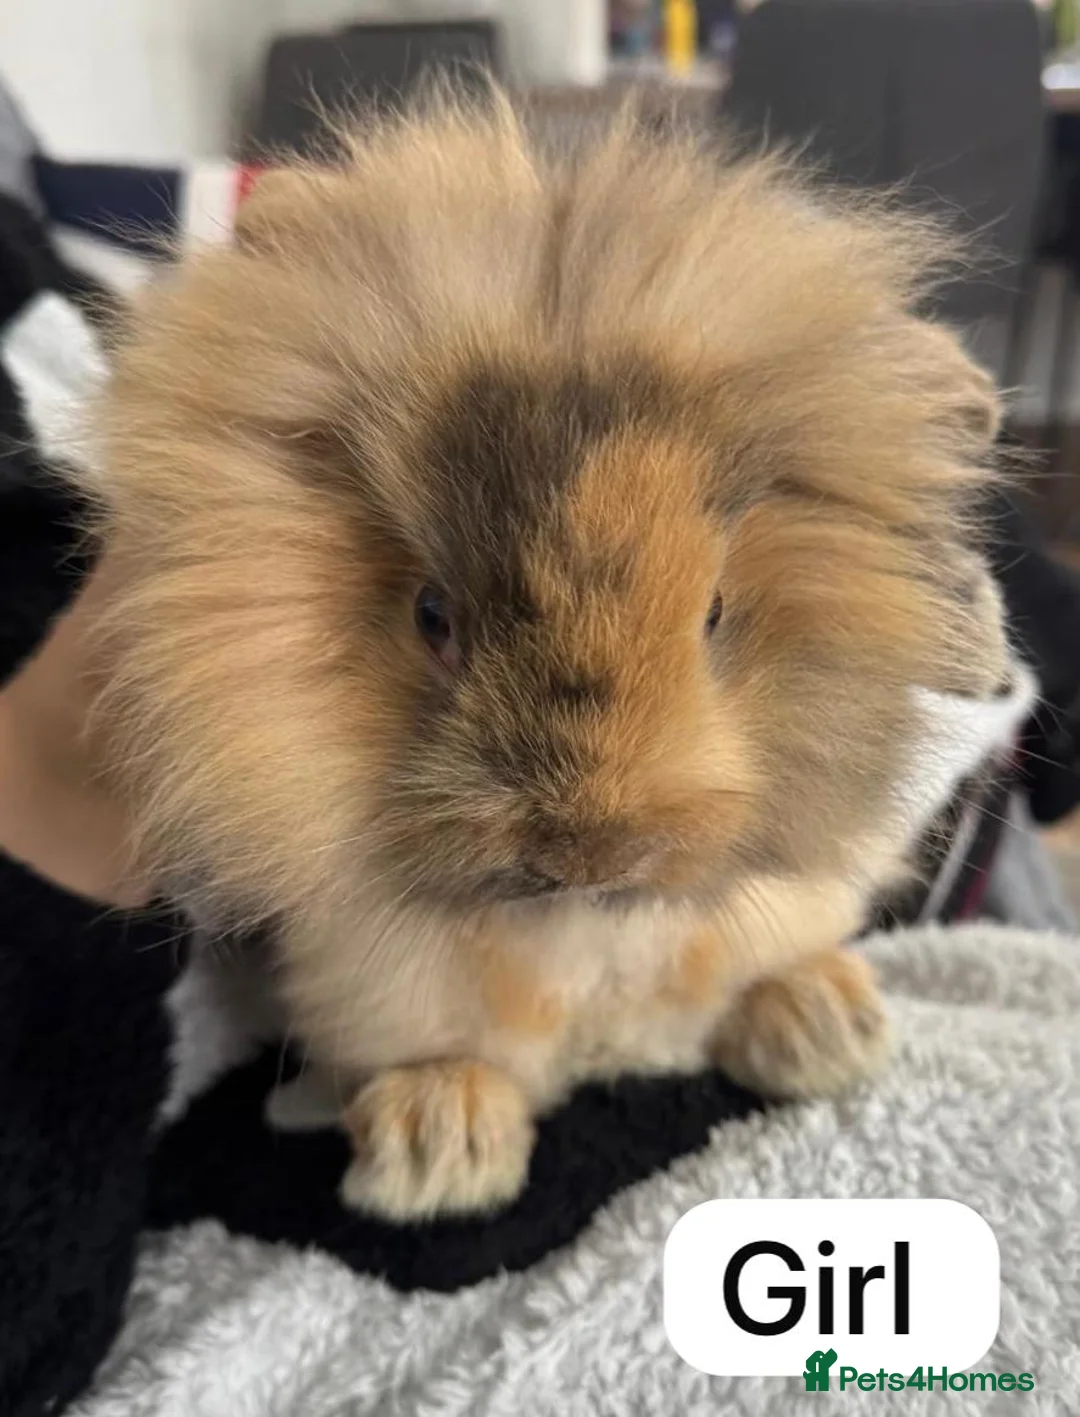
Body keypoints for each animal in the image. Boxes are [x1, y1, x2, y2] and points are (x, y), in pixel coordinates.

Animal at [81, 90, 1008, 1220]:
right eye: (432, 614)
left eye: (714, 614)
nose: (590, 849)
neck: (582, 923)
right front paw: (433, 1166)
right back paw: (439, 1144)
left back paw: (824, 1024)